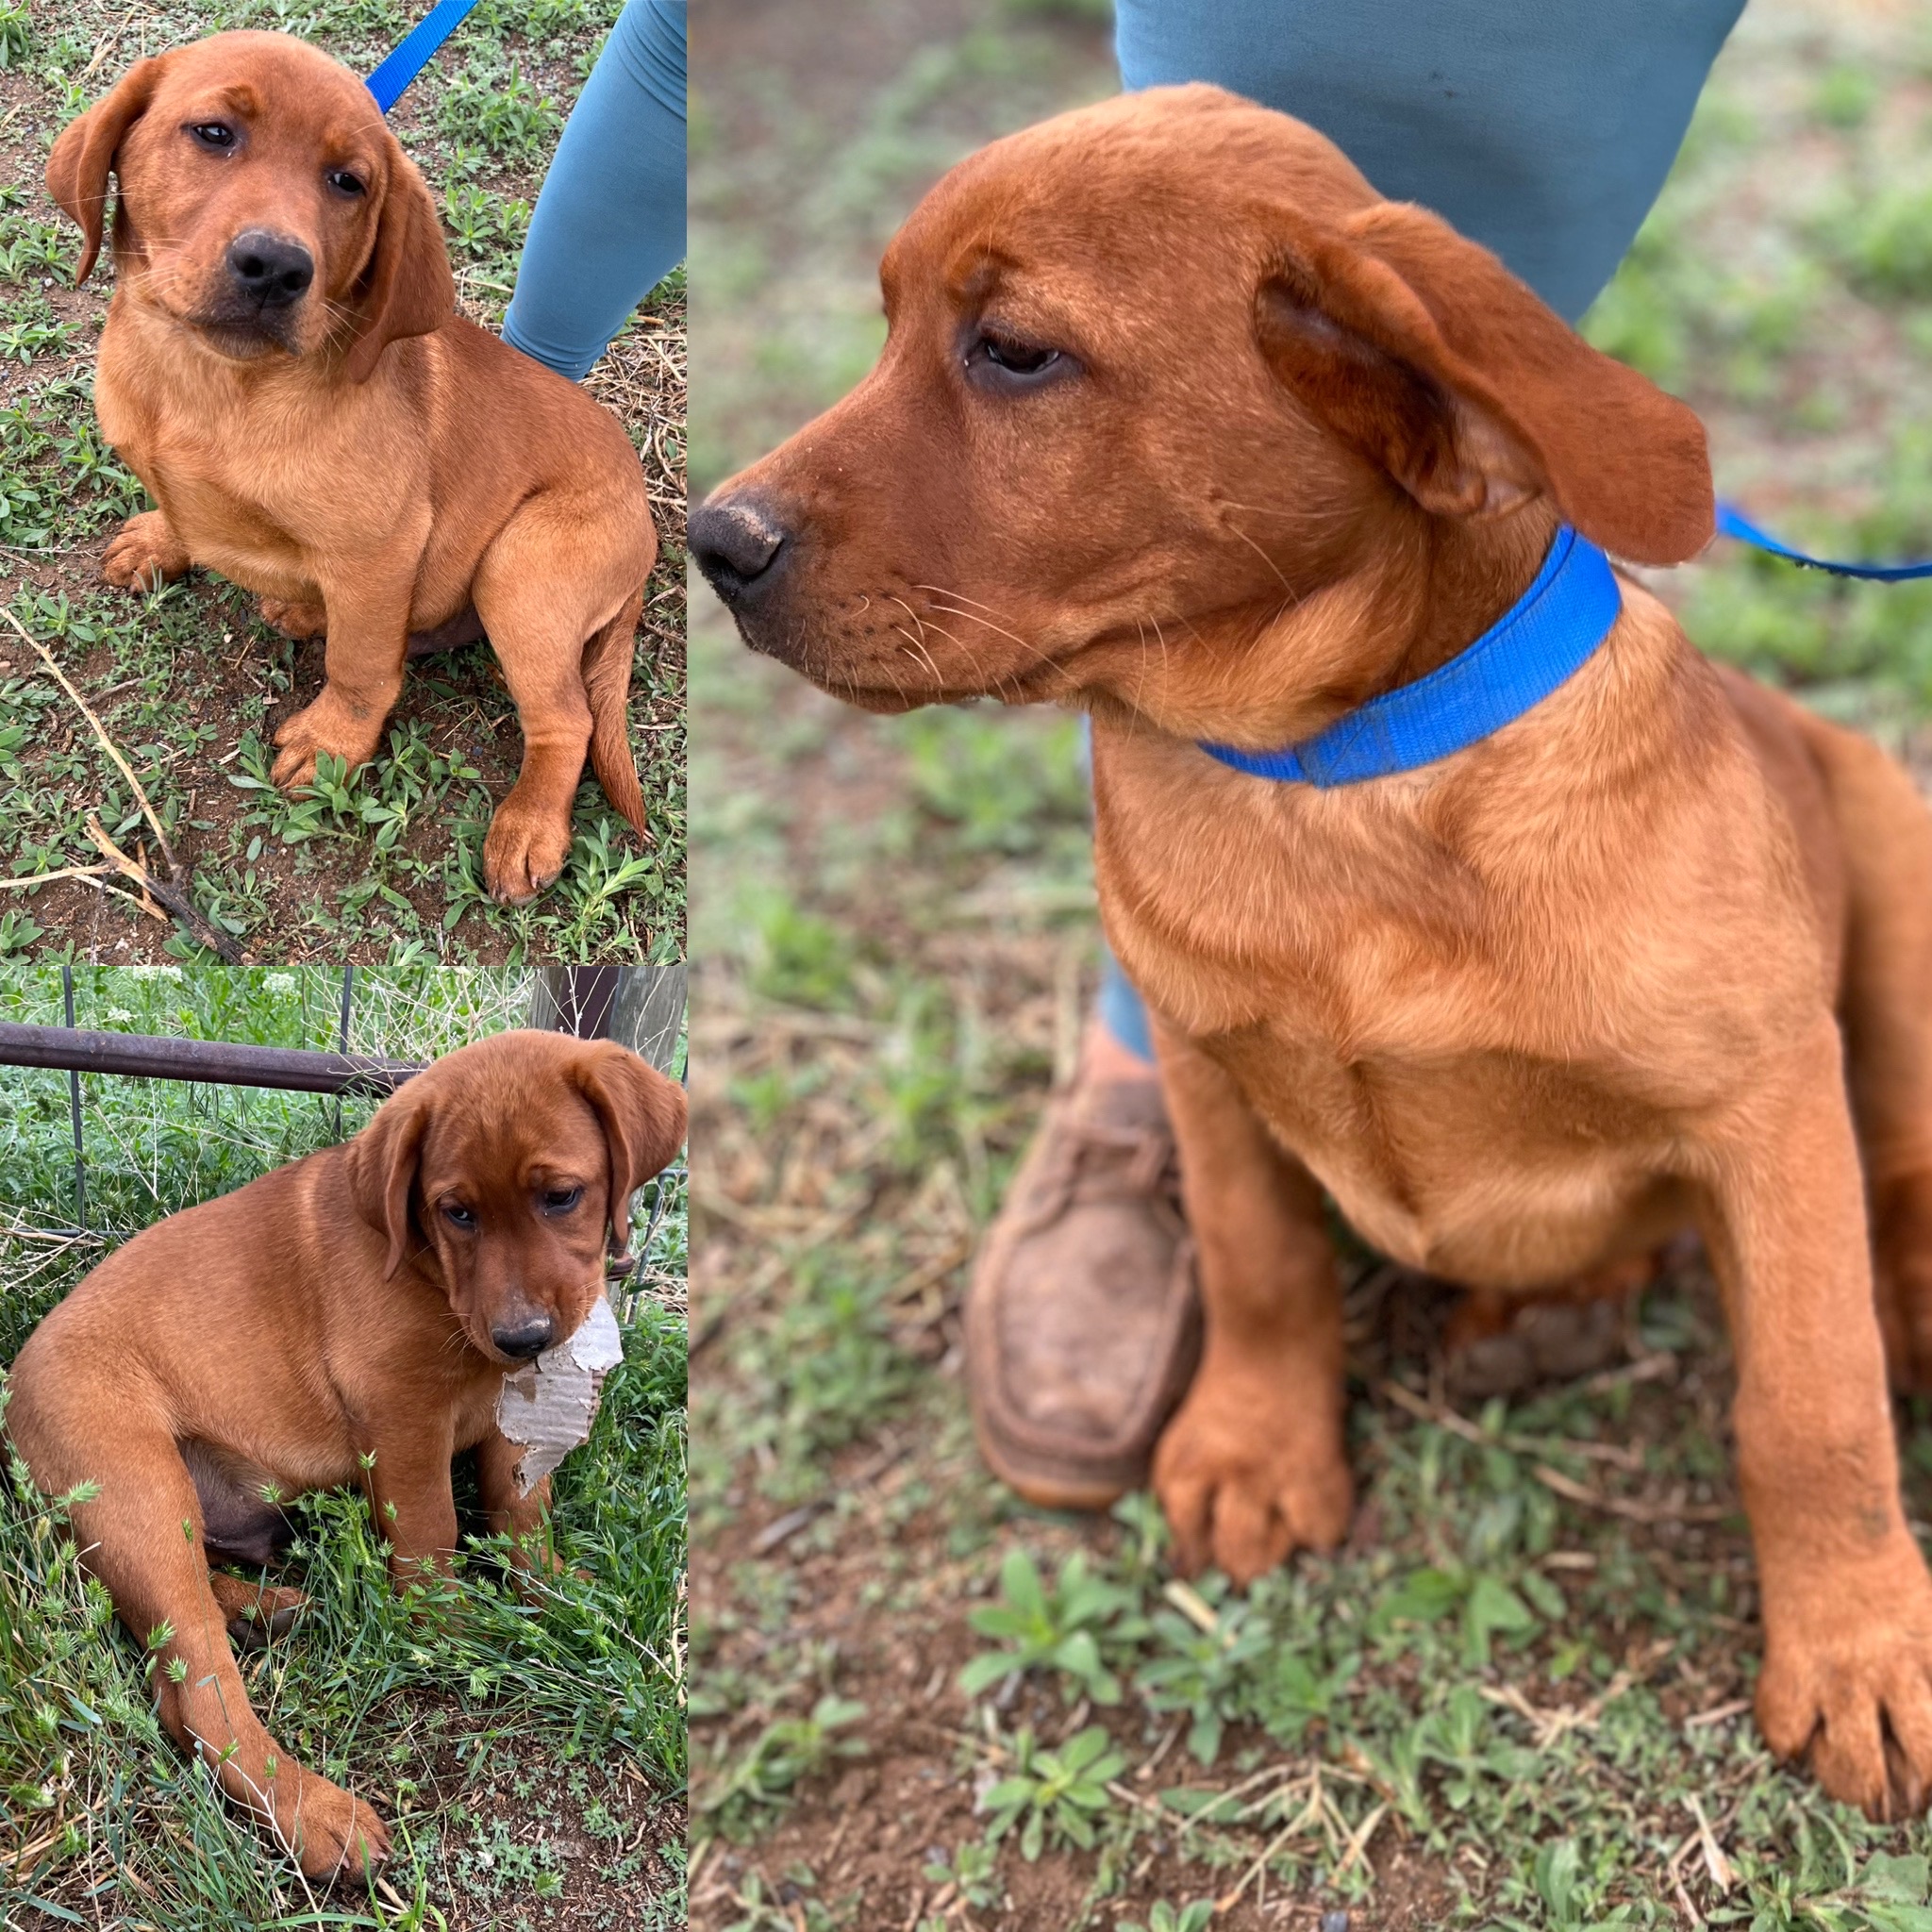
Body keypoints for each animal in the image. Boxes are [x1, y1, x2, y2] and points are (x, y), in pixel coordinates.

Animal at [6, 1035, 688, 1877]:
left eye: (562, 1197)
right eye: (457, 1212)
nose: (525, 1336)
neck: (430, 1272)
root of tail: (9, 1394)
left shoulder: (508, 1403)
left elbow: (520, 1504)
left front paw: (551, 1589)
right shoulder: (399, 1412)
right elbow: (431, 1530)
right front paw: (451, 1631)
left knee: (182, 1617)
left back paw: (270, 1609)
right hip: (139, 1487)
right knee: (191, 1687)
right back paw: (311, 1812)